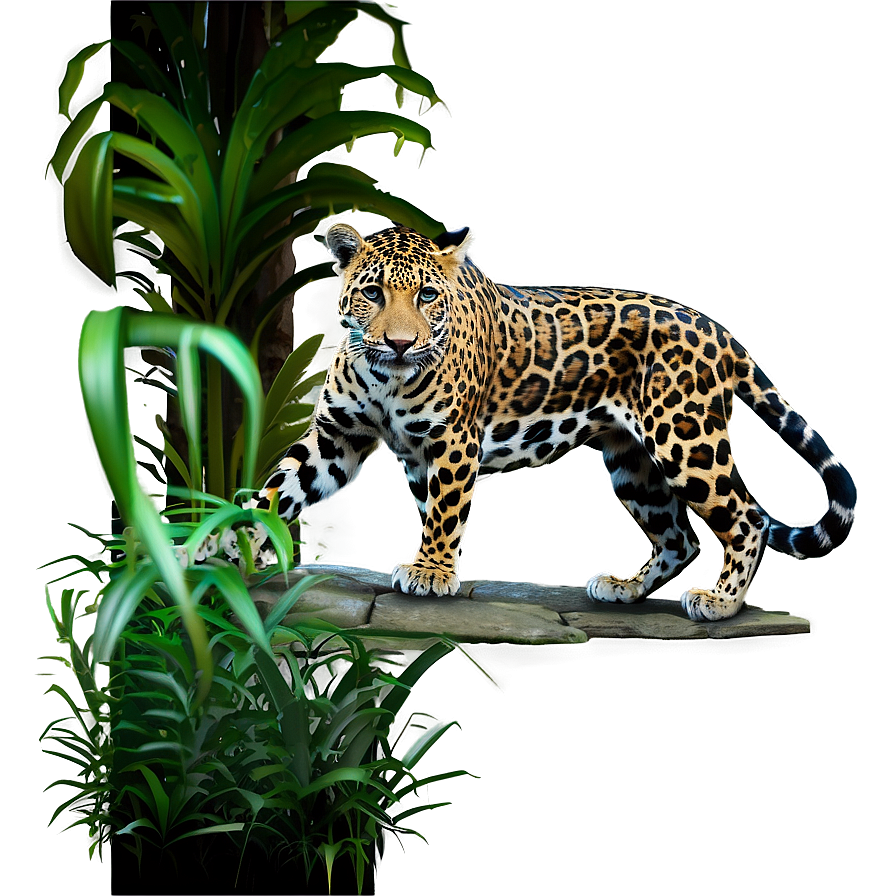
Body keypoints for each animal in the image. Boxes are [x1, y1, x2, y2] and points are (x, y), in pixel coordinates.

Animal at [248, 223, 856, 621]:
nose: (400, 344)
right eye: (372, 294)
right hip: (633, 461)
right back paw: (626, 589)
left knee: (748, 517)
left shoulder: (452, 439)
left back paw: (721, 601)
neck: (383, 376)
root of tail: (719, 330)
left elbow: (444, 512)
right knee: (679, 535)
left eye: (427, 296)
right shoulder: (338, 437)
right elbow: (278, 488)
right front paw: (227, 547)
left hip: (685, 440)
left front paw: (432, 572)